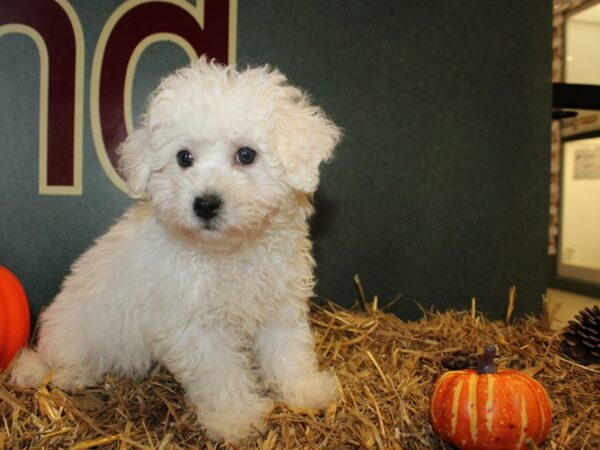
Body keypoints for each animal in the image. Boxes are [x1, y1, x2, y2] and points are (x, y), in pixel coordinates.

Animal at [11, 58, 342, 442]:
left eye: (246, 155)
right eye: (184, 158)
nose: (205, 204)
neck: (230, 252)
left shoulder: (278, 305)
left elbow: (288, 352)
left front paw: (304, 391)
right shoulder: (197, 327)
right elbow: (221, 375)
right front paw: (235, 419)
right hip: (75, 335)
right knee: (58, 365)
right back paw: (71, 375)